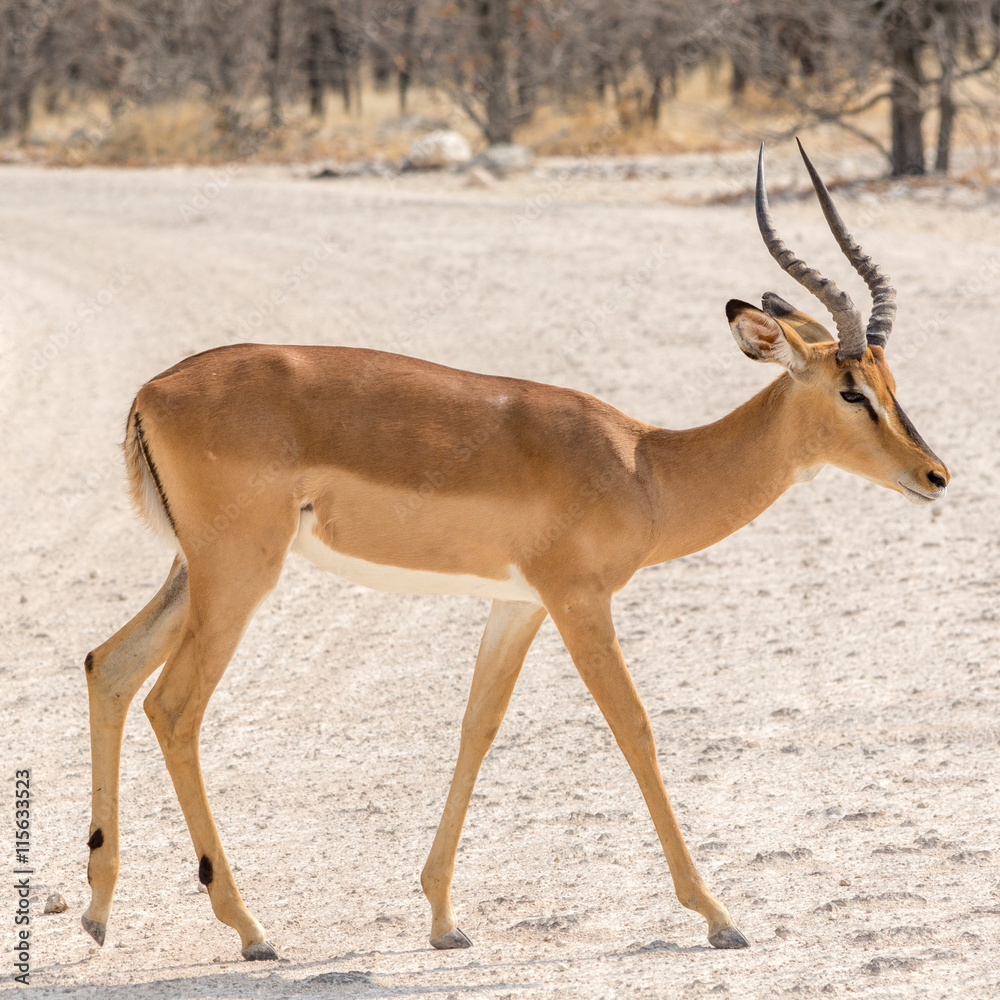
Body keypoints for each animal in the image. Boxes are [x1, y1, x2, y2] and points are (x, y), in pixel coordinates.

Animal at [82, 142, 949, 960]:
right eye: (851, 390)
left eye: (890, 382)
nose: (935, 475)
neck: (646, 466)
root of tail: (151, 392)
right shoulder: (578, 600)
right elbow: (635, 727)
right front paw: (719, 916)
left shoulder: (516, 603)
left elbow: (478, 726)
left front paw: (442, 919)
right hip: (238, 574)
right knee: (174, 706)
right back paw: (250, 928)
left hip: (195, 574)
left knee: (110, 666)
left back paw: (97, 912)